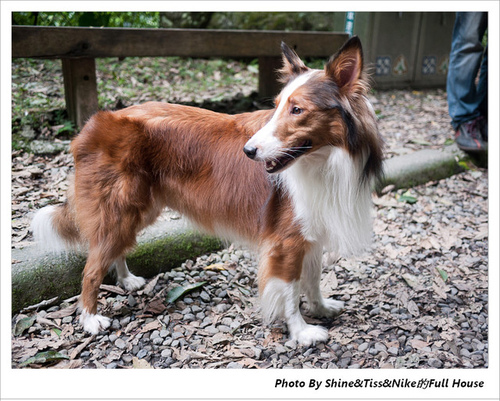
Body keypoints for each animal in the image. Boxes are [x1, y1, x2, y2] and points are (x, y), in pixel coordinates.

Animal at [31, 36, 382, 346]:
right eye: (277, 106)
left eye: (297, 109)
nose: (248, 151)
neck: (323, 159)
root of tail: (92, 124)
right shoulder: (286, 241)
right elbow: (289, 290)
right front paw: (302, 332)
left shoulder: (310, 231)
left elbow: (312, 279)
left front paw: (321, 308)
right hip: (119, 210)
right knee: (91, 268)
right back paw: (90, 318)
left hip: (139, 209)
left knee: (113, 249)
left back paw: (126, 279)